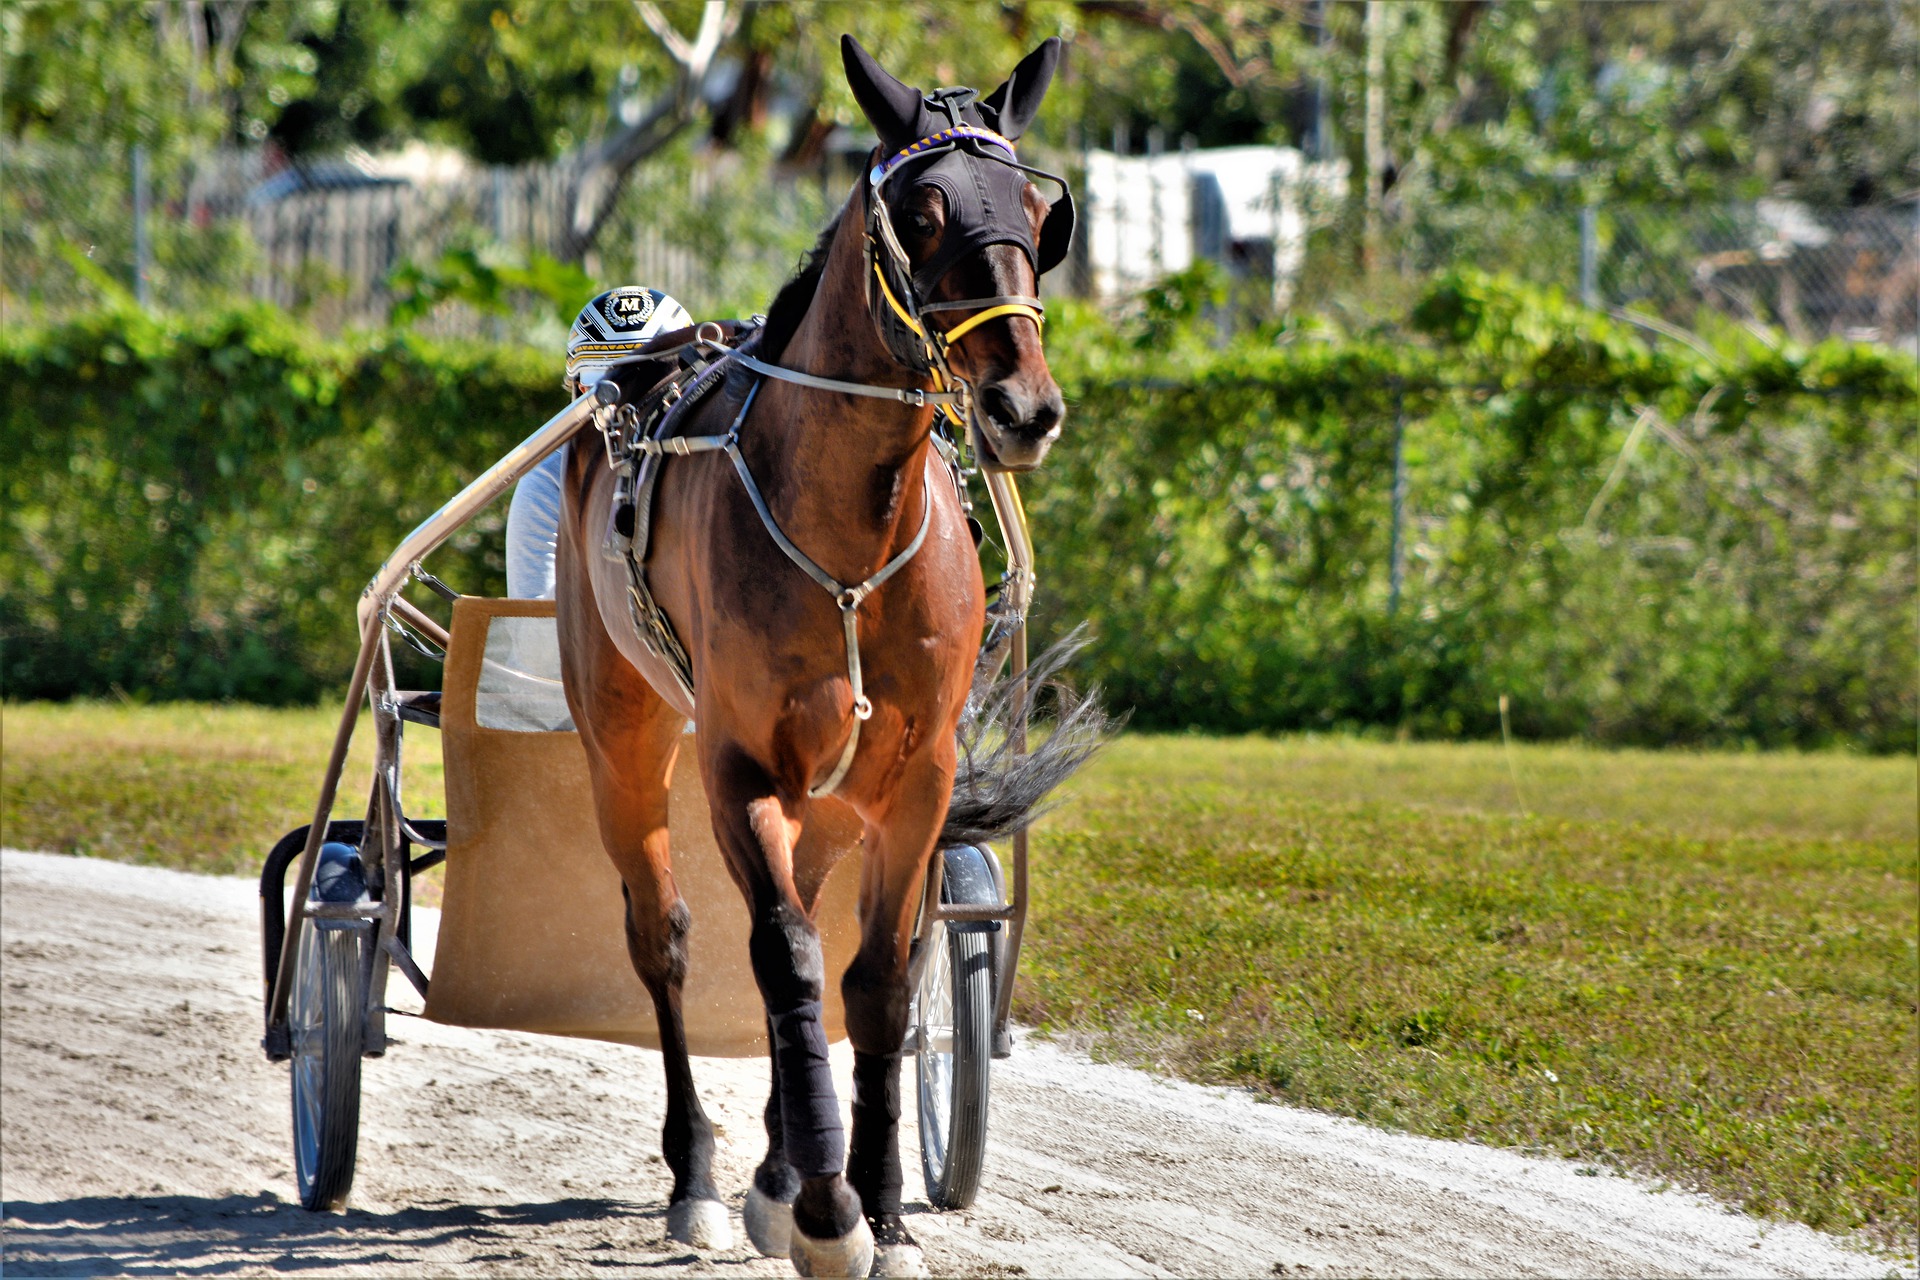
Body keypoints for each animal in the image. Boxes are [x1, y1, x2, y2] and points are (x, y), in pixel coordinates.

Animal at [556, 35, 1098, 1274]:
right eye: (926, 212)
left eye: (1039, 212)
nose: (1023, 407)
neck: (850, 527)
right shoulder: (741, 765)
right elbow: (789, 960)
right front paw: (824, 1209)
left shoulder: (917, 775)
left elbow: (879, 982)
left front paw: (882, 1207)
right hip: (624, 731)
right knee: (668, 934)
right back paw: (705, 1176)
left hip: (838, 793)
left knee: (804, 908)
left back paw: (774, 1165)